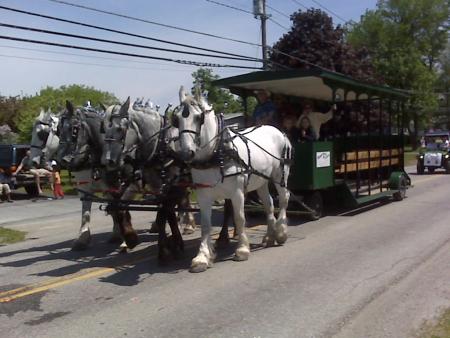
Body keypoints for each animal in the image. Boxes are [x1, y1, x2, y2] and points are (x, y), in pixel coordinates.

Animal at [172, 87, 292, 272]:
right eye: (176, 119)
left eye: (199, 118)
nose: (186, 153)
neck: (217, 153)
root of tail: (278, 131)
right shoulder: (203, 195)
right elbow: (205, 225)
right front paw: (202, 257)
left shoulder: (237, 193)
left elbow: (239, 218)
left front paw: (242, 249)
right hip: (261, 181)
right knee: (269, 203)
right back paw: (269, 236)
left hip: (280, 175)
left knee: (284, 199)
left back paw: (281, 232)